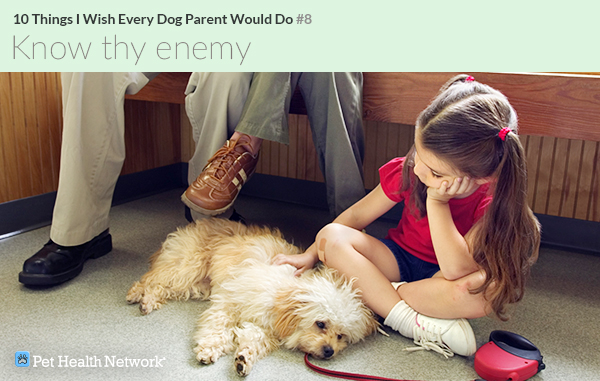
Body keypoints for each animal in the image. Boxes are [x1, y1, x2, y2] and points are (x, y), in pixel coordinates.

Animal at [127, 217, 378, 374]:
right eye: (321, 324)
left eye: (341, 336)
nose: (329, 352)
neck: (279, 300)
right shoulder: (228, 305)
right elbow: (217, 330)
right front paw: (209, 349)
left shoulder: (262, 329)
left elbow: (254, 341)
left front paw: (243, 360)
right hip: (187, 267)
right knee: (153, 278)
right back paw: (137, 294)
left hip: (196, 284)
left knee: (162, 287)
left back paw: (148, 301)